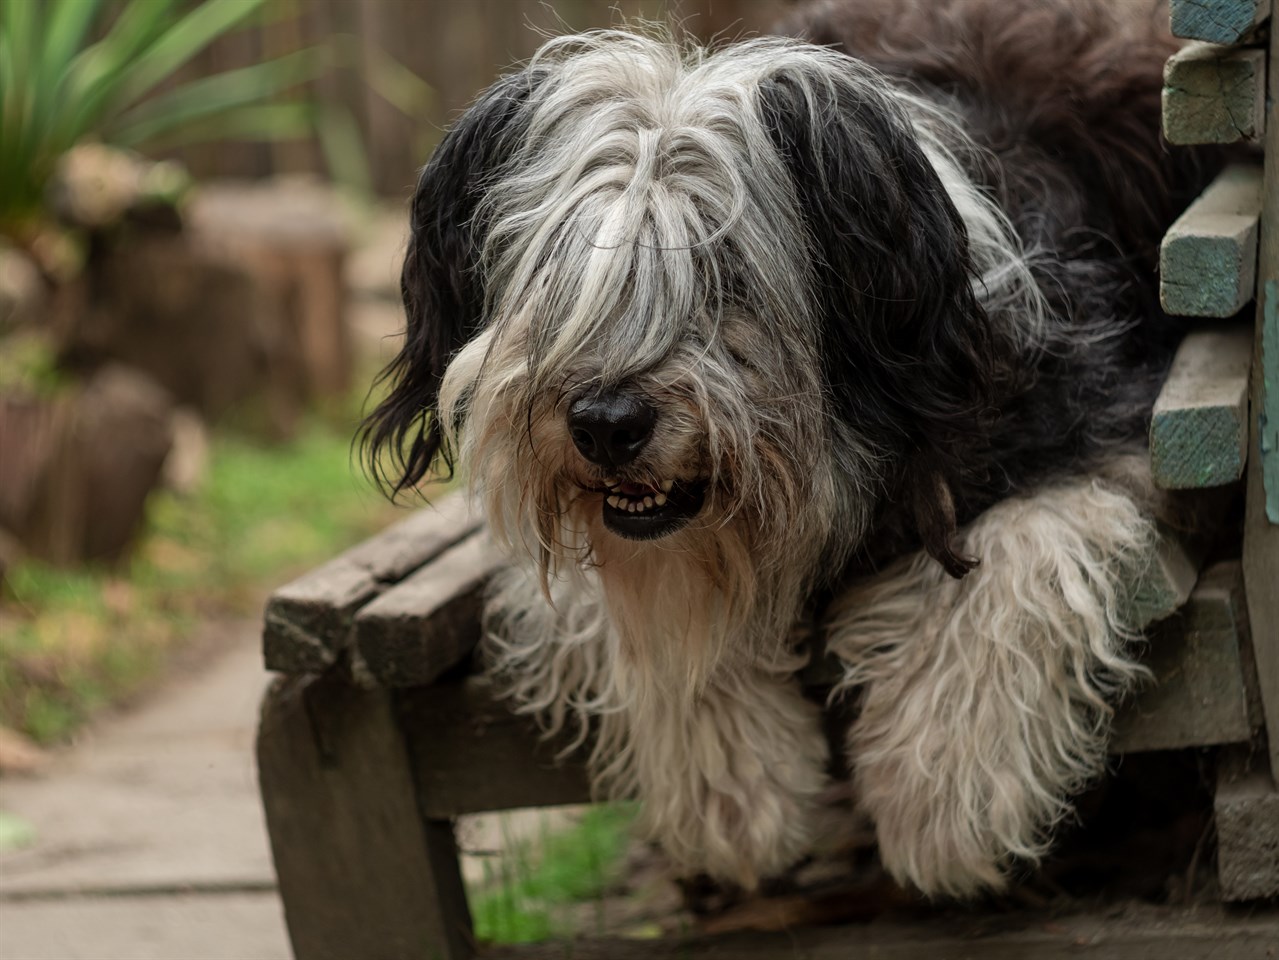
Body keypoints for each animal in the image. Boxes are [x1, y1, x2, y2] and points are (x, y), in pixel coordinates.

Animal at [363, 0, 1217, 899]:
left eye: (725, 270)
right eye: (558, 268)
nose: (604, 424)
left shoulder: (1106, 425)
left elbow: (1017, 556)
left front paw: (943, 799)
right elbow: (637, 616)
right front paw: (735, 793)